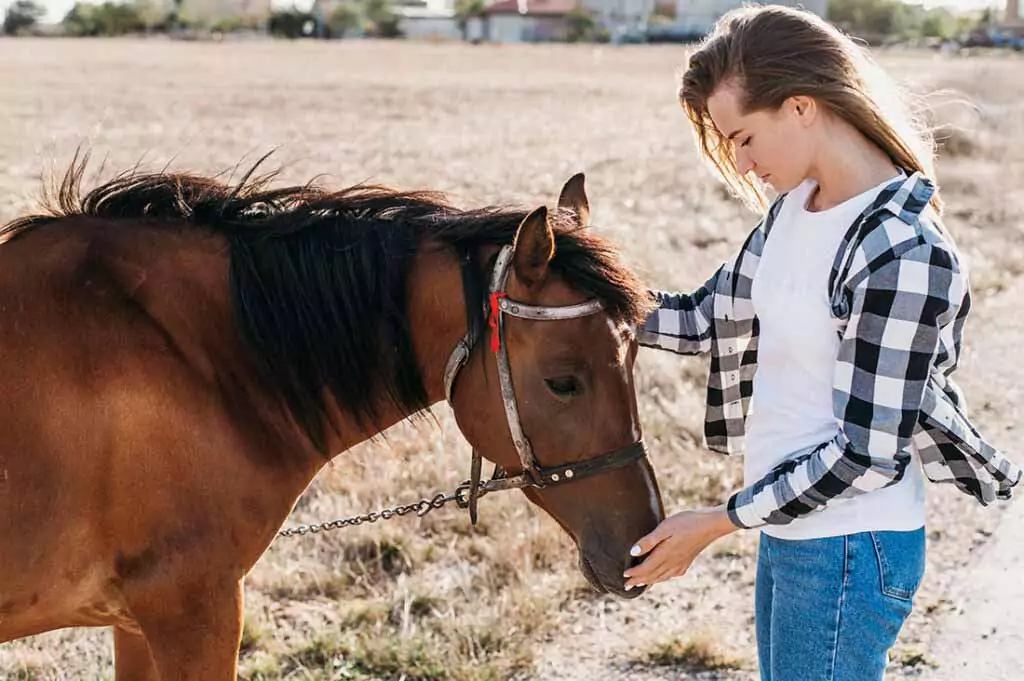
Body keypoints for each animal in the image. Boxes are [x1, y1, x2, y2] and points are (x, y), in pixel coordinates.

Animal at [0, 160, 663, 679]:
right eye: (563, 382)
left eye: (635, 354)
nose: (641, 549)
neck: (194, 360)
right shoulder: (191, 610)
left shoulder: (137, 623)